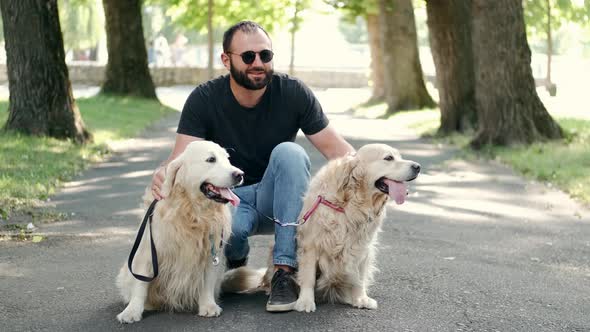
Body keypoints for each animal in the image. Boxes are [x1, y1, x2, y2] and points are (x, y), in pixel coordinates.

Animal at [114, 141, 244, 324]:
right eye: (211, 159)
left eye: (227, 159)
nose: (240, 174)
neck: (194, 213)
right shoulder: (147, 253)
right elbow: (140, 285)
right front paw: (132, 311)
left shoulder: (211, 254)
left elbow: (207, 282)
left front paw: (208, 305)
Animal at [296, 143, 420, 312]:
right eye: (388, 158)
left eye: (399, 156)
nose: (418, 167)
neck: (353, 203)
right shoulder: (311, 243)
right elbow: (308, 275)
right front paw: (306, 301)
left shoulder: (362, 246)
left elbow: (359, 276)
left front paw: (360, 298)